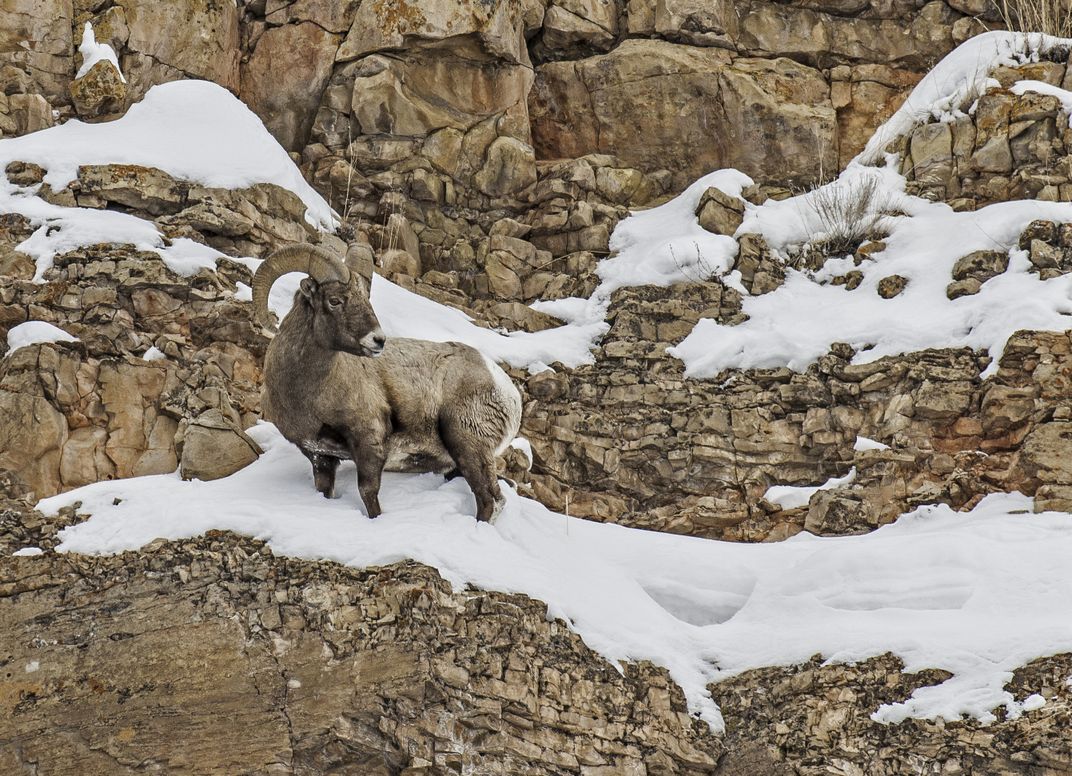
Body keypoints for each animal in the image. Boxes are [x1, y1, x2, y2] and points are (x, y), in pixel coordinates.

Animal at [250, 242, 518, 520]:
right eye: (334, 300)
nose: (378, 340)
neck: (306, 395)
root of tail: (508, 392)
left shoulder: (369, 444)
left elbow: (369, 494)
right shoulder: (319, 457)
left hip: (467, 443)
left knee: (490, 499)